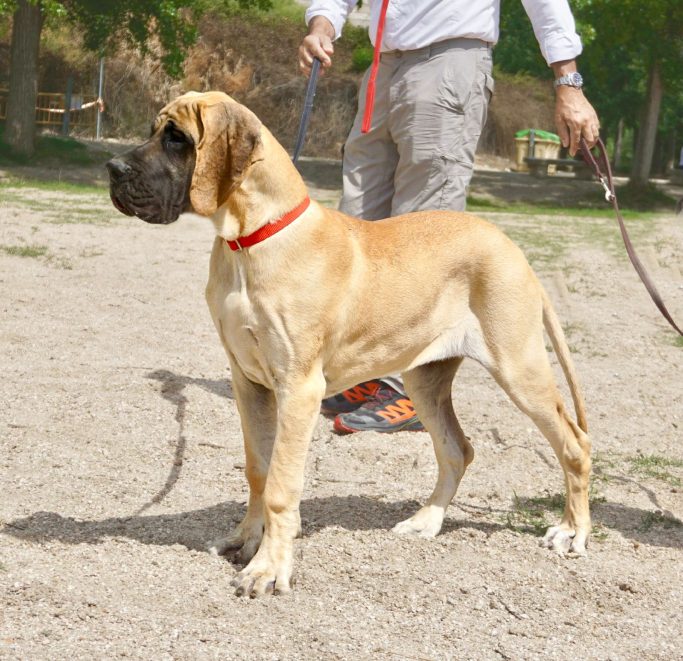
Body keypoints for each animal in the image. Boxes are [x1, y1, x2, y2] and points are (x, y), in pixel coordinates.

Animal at [107, 90, 592, 596]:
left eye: (177, 138)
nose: (112, 168)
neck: (251, 238)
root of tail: (513, 247)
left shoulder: (299, 388)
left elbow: (281, 484)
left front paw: (268, 568)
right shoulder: (248, 381)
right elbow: (258, 469)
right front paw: (247, 539)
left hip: (518, 367)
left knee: (575, 444)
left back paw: (571, 531)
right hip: (425, 380)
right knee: (457, 449)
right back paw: (426, 520)